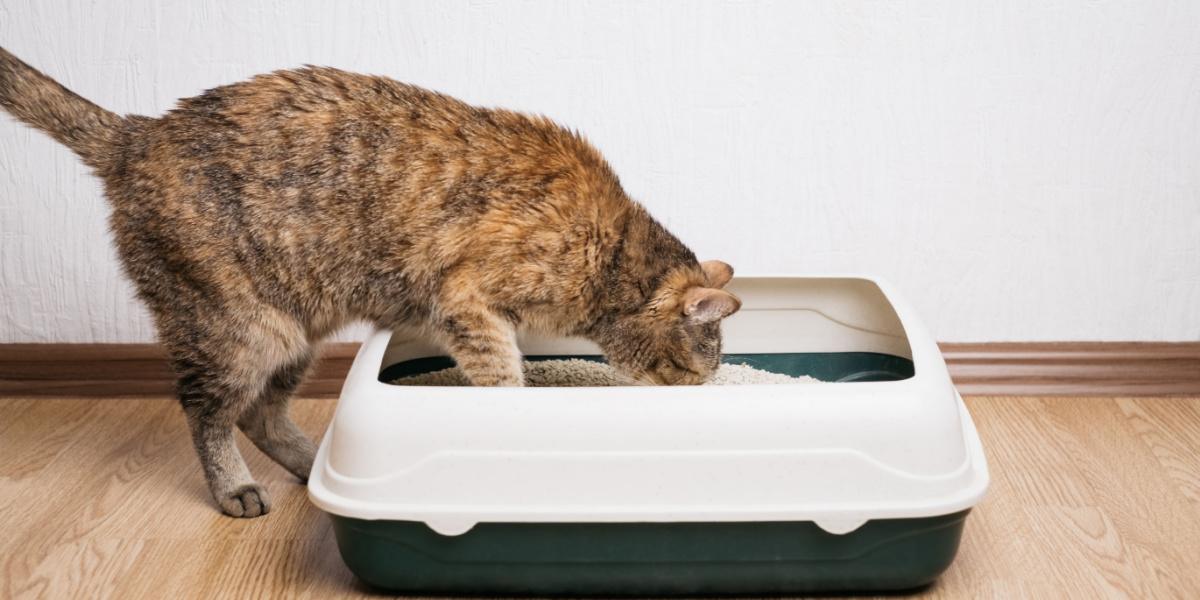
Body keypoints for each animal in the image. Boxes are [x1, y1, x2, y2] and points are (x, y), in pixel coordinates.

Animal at [0, 46, 739, 518]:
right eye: (693, 371)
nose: (697, 401)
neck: (608, 253)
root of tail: (138, 134)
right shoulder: (469, 303)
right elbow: (503, 376)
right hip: (241, 328)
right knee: (208, 414)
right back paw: (235, 488)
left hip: (296, 333)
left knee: (262, 415)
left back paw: (312, 463)